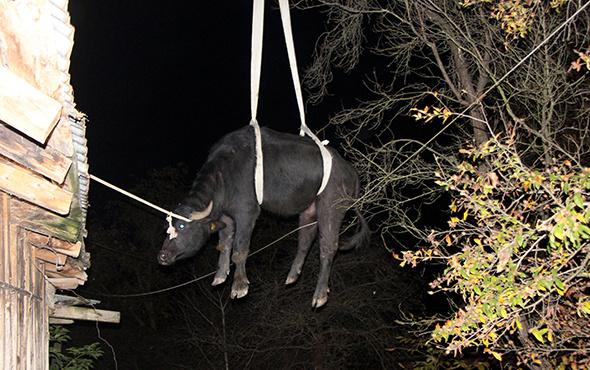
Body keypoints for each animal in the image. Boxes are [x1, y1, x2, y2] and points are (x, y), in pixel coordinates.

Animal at [158, 125, 370, 308]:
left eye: (182, 226)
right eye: (168, 227)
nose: (162, 255)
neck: (225, 173)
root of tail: (350, 171)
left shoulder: (247, 212)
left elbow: (239, 250)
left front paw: (239, 287)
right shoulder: (226, 217)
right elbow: (224, 245)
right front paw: (220, 276)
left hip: (331, 207)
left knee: (328, 247)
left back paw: (319, 295)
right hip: (309, 210)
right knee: (305, 240)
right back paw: (292, 275)